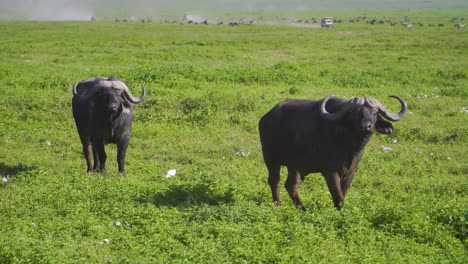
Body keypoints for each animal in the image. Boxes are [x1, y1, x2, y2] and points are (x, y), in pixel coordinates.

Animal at [258, 95, 408, 210]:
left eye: (375, 113)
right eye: (355, 113)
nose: (366, 126)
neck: (349, 147)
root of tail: (266, 118)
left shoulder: (350, 172)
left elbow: (343, 192)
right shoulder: (330, 172)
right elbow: (338, 195)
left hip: (294, 165)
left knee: (291, 185)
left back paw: (302, 208)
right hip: (271, 159)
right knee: (274, 181)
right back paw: (278, 205)